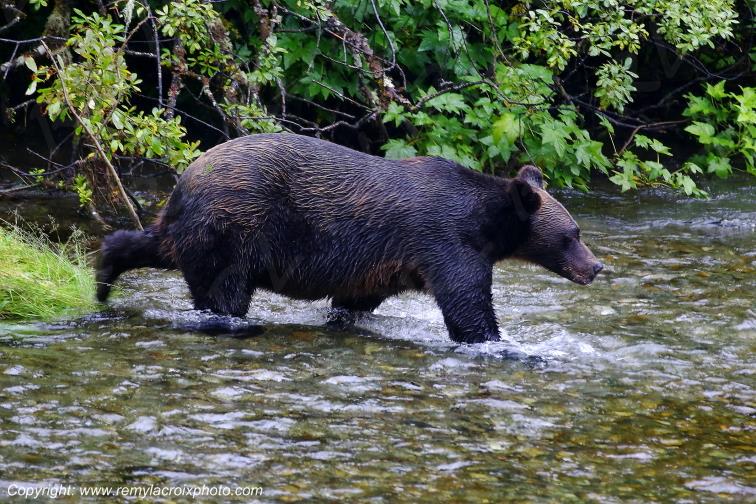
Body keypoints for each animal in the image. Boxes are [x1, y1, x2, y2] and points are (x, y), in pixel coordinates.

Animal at [96, 133, 603, 343]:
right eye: (572, 235)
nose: (597, 266)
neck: (485, 225)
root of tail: (187, 177)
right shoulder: (446, 241)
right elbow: (468, 304)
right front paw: (500, 342)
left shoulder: (385, 264)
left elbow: (355, 300)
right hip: (239, 223)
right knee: (225, 292)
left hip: (198, 227)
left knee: (155, 246)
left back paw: (104, 274)